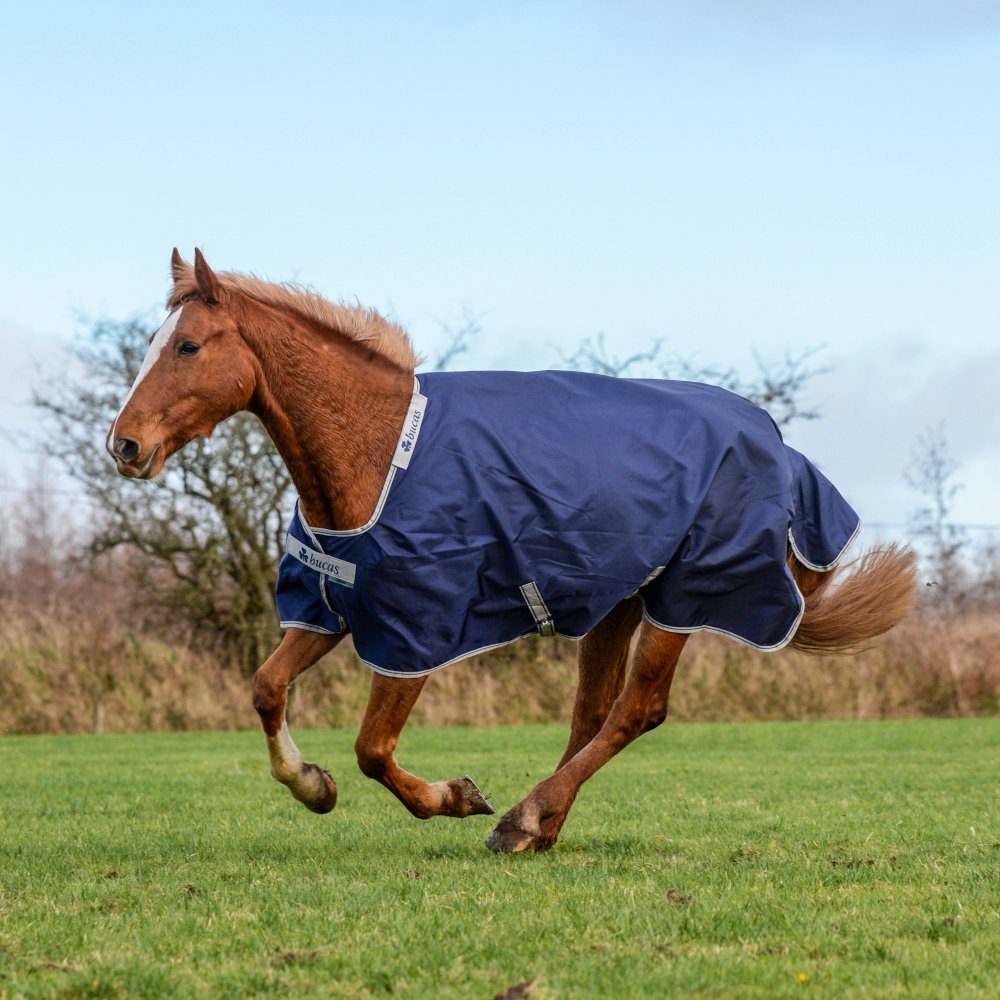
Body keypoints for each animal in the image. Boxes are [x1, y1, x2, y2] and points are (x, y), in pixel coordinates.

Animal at [107, 248, 918, 853]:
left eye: (187, 346)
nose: (124, 445)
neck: (380, 454)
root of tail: (782, 450)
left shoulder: (416, 630)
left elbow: (373, 748)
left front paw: (454, 796)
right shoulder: (331, 607)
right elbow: (266, 689)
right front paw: (313, 786)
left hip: (686, 599)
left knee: (637, 710)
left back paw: (521, 819)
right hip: (618, 603)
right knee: (593, 714)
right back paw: (541, 825)